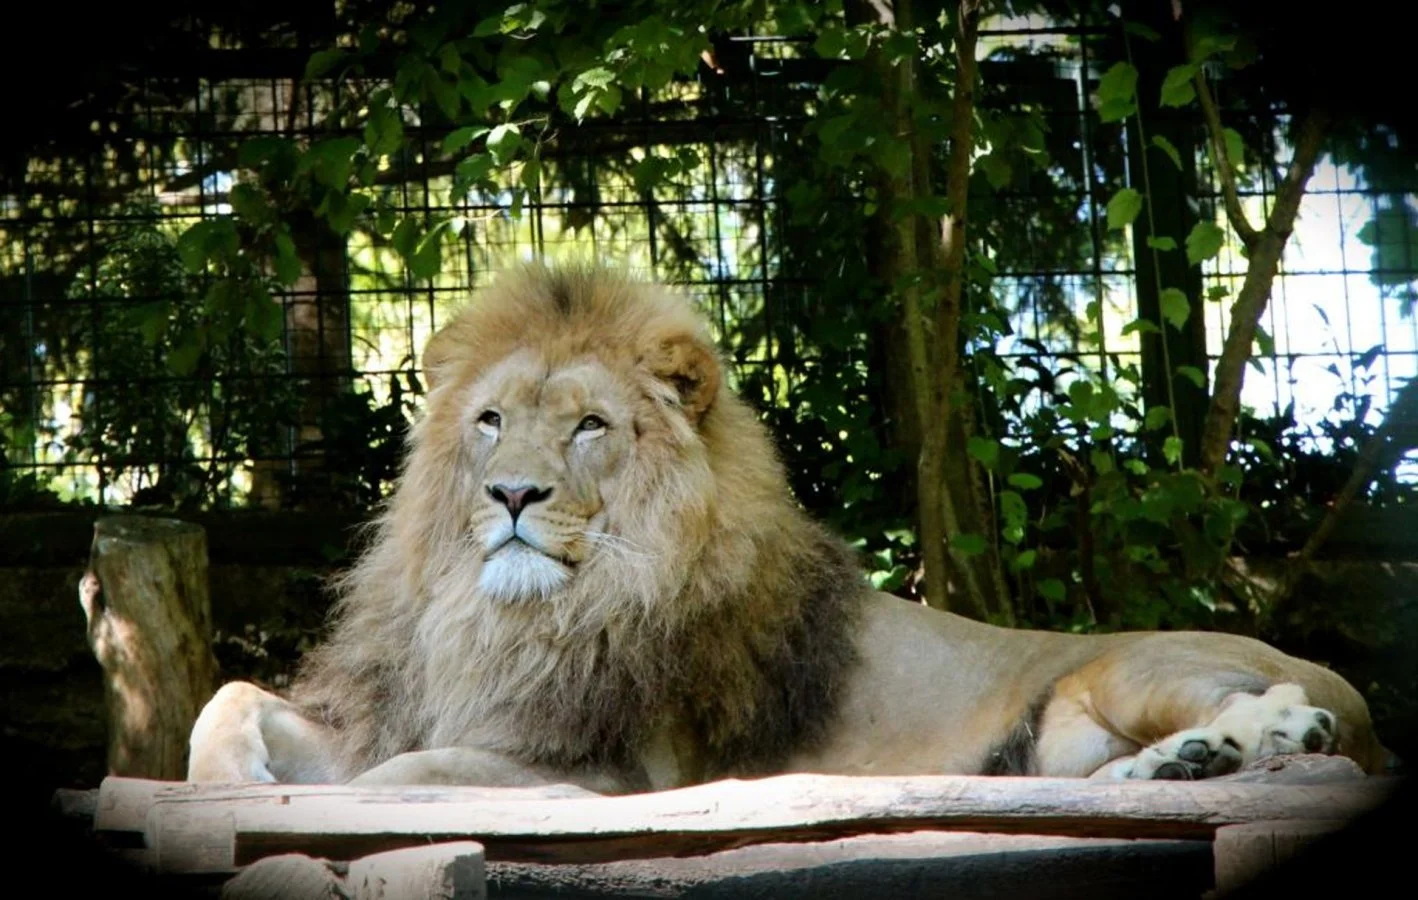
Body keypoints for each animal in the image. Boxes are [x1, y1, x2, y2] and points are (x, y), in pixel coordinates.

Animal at [188, 261, 1390, 791]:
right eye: (489, 421)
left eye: (587, 427)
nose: (511, 497)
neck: (505, 620)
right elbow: (229, 698)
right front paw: (232, 781)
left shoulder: (599, 771)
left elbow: (397, 783)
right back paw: (1170, 770)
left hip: (1132, 667)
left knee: (1282, 714)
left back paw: (1256, 738)